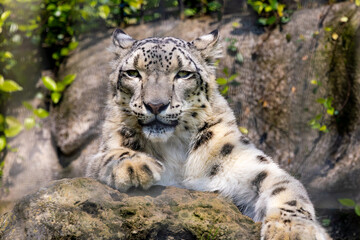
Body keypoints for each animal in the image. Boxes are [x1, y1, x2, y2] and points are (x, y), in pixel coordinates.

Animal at [86, 29, 332, 239]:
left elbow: (286, 188)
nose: (155, 105)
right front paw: (135, 166)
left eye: (183, 74)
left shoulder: (247, 161)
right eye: (132, 73)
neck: (172, 149)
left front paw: (293, 230)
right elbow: (104, 157)